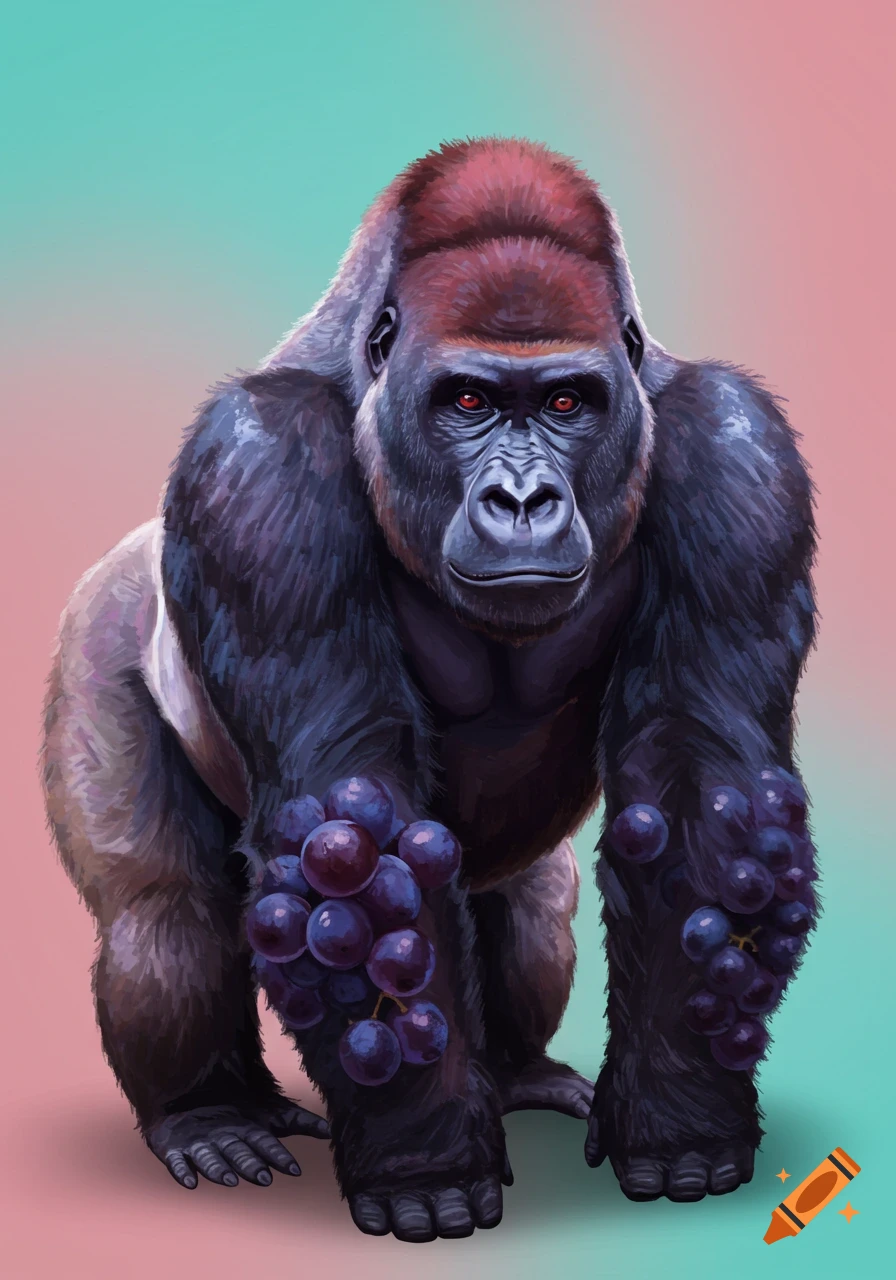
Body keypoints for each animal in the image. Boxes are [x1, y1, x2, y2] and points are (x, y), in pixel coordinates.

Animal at [42, 137, 817, 1243]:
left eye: (567, 402)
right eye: (467, 402)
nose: (521, 498)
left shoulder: (738, 452)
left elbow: (700, 805)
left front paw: (681, 1124)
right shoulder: (255, 464)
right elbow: (348, 821)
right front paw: (423, 1163)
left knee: (532, 903)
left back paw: (518, 1073)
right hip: (97, 629)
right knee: (165, 914)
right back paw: (208, 1113)